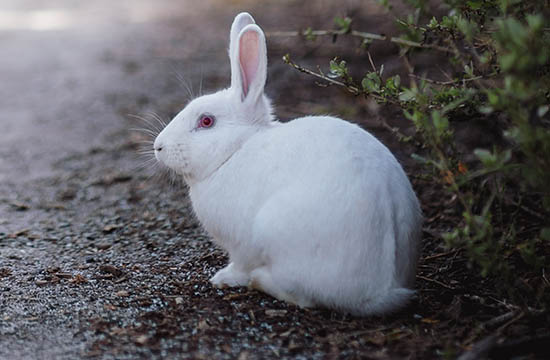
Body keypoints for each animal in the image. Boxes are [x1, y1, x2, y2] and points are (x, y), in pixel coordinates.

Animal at [154, 11, 422, 316]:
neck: (236, 149)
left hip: (276, 233)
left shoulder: (241, 245)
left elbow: (239, 264)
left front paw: (222, 278)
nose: (158, 146)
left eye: (206, 121)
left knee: (304, 298)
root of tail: (381, 292)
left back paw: (260, 280)